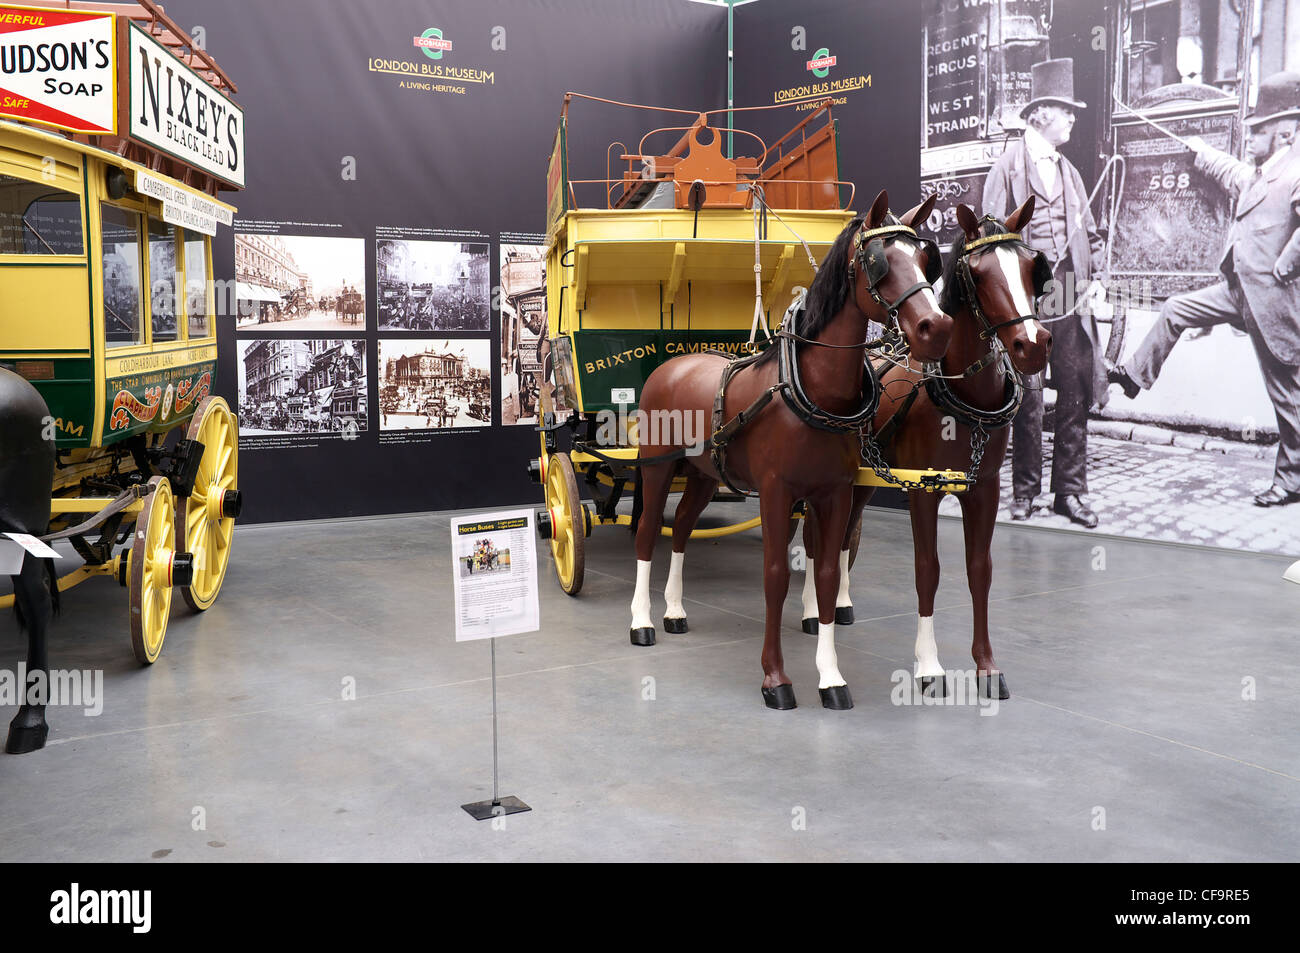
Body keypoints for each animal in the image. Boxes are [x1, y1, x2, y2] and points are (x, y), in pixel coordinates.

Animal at [624, 189, 951, 707]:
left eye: (926, 260)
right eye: (879, 261)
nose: (934, 328)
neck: (813, 390)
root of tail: (670, 367)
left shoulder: (833, 493)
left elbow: (827, 574)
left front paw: (831, 677)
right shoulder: (777, 492)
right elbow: (775, 575)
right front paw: (775, 678)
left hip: (702, 474)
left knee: (681, 532)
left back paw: (674, 611)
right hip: (658, 469)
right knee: (646, 534)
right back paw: (642, 622)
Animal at [800, 197, 1055, 696]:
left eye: (1032, 268)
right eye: (979, 274)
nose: (1032, 344)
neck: (964, 398)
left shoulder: (985, 489)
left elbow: (980, 570)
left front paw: (986, 666)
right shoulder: (924, 490)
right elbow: (927, 569)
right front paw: (929, 665)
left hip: (862, 478)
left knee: (845, 532)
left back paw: (838, 603)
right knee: (814, 536)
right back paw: (810, 610)